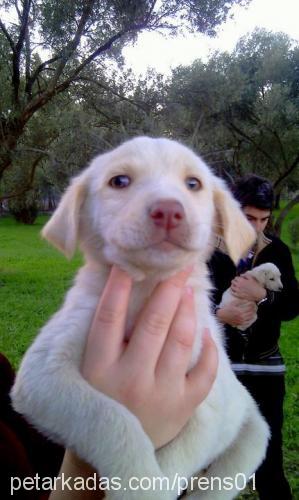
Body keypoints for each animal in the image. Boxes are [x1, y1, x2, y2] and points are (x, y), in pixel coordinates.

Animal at [11, 137, 270, 500]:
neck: (145, 290)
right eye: (119, 181)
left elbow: (181, 453)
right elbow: (113, 419)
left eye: (193, 183)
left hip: (251, 436)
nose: (169, 211)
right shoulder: (42, 374)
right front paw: (138, 483)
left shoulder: (210, 401)